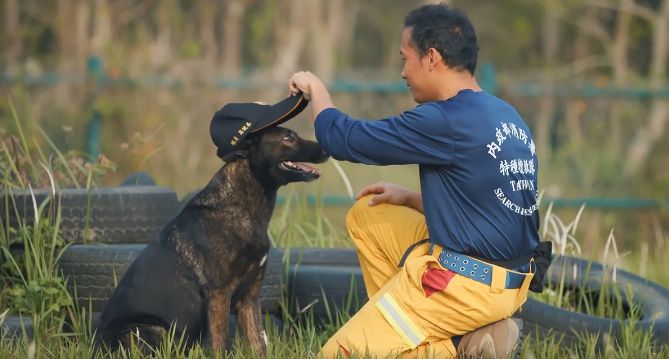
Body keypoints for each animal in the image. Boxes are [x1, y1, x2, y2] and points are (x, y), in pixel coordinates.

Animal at [96, 95, 328, 354]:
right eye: (288, 137)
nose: (326, 148)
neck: (242, 207)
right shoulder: (219, 293)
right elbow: (219, 342)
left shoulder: (250, 297)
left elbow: (257, 343)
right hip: (151, 330)